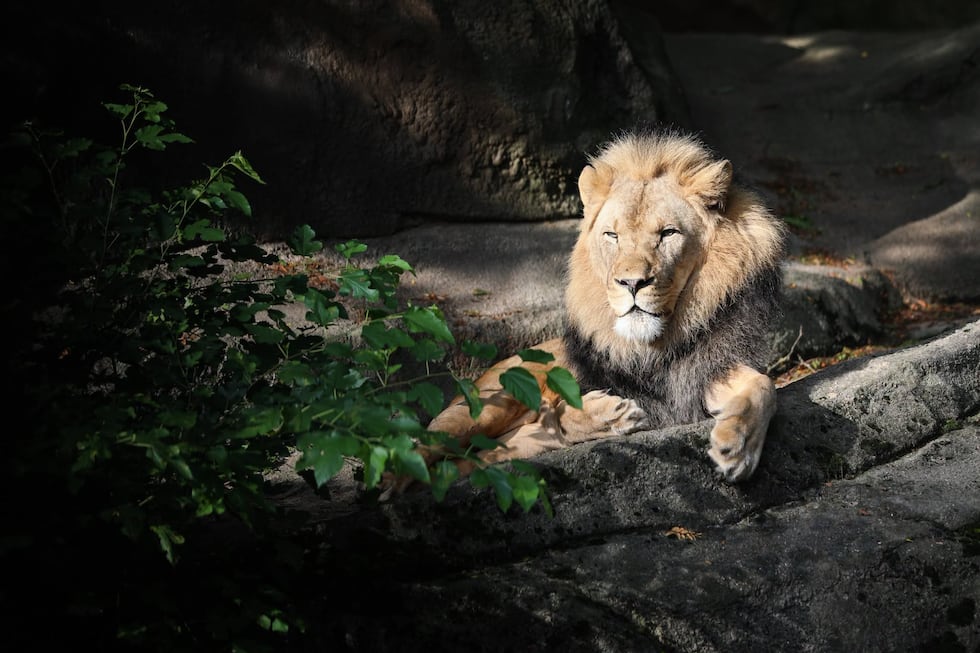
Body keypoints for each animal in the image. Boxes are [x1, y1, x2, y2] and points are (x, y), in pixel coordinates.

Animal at [404, 130, 785, 488]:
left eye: (668, 233)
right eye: (612, 236)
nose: (632, 283)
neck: (652, 348)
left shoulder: (704, 372)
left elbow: (763, 386)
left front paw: (737, 447)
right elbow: (563, 410)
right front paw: (607, 412)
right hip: (485, 404)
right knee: (417, 451)